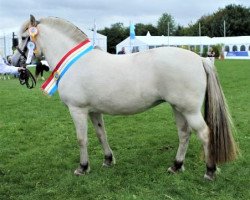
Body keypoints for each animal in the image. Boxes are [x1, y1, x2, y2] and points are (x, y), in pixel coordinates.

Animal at [12, 15, 238, 180]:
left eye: (23, 38)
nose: (13, 61)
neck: (76, 61)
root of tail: (201, 59)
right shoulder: (94, 111)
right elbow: (101, 135)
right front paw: (108, 160)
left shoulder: (78, 110)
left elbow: (81, 139)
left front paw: (83, 167)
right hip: (178, 108)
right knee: (184, 134)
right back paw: (176, 166)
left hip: (189, 110)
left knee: (205, 134)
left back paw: (209, 171)